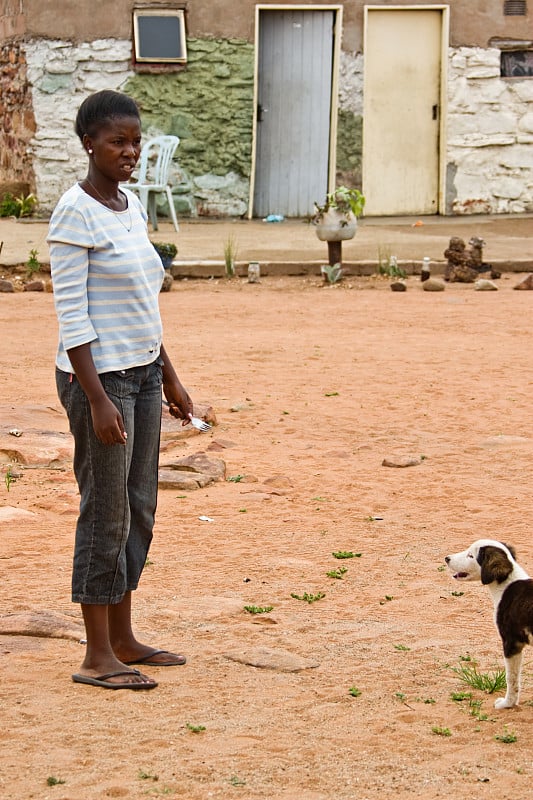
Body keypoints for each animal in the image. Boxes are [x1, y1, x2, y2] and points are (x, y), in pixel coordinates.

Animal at [444, 540, 532, 708]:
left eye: (471, 555)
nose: (447, 558)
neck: (506, 584)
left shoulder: (511, 643)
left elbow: (511, 679)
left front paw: (507, 704)